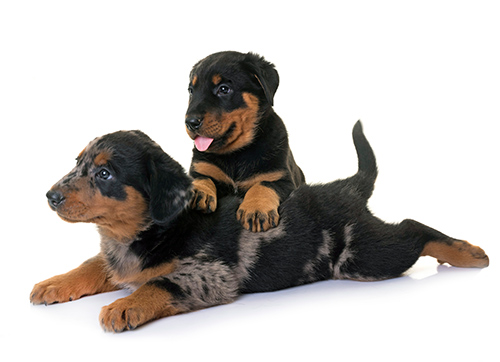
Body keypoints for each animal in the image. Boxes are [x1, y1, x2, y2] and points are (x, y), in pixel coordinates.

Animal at [30, 123, 488, 332]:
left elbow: (160, 284)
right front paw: (53, 283)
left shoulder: (211, 275)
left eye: (105, 173)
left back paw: (469, 252)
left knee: (412, 228)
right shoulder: (117, 260)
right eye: (77, 163)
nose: (50, 196)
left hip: (364, 256)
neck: (145, 233)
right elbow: (92, 265)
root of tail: (346, 188)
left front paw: (124, 306)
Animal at [185, 50, 304, 232]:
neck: (236, 153)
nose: (190, 122)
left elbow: (263, 185)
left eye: (224, 89)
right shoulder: (201, 167)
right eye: (191, 91)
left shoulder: (282, 179)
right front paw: (199, 190)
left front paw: (256, 209)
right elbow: (201, 177)